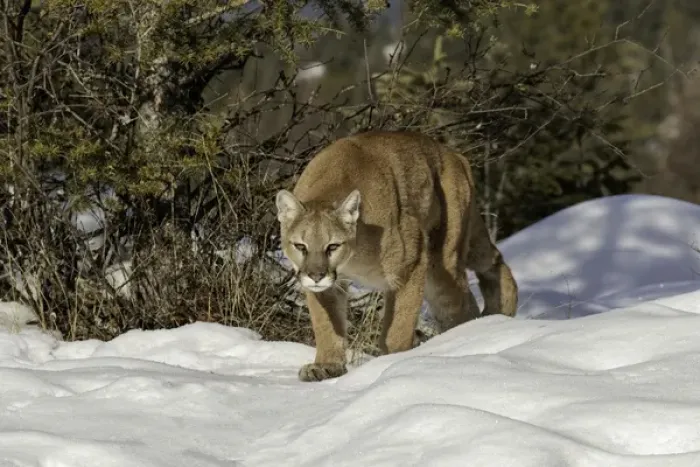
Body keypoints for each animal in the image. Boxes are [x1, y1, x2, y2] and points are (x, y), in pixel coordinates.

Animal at [275, 130, 518, 382]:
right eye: (300, 246)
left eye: (332, 246)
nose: (316, 276)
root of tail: (454, 155)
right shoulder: (326, 287)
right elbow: (325, 324)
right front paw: (326, 365)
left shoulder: (411, 264)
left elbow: (398, 325)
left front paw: (394, 362)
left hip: (442, 262)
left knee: (464, 298)